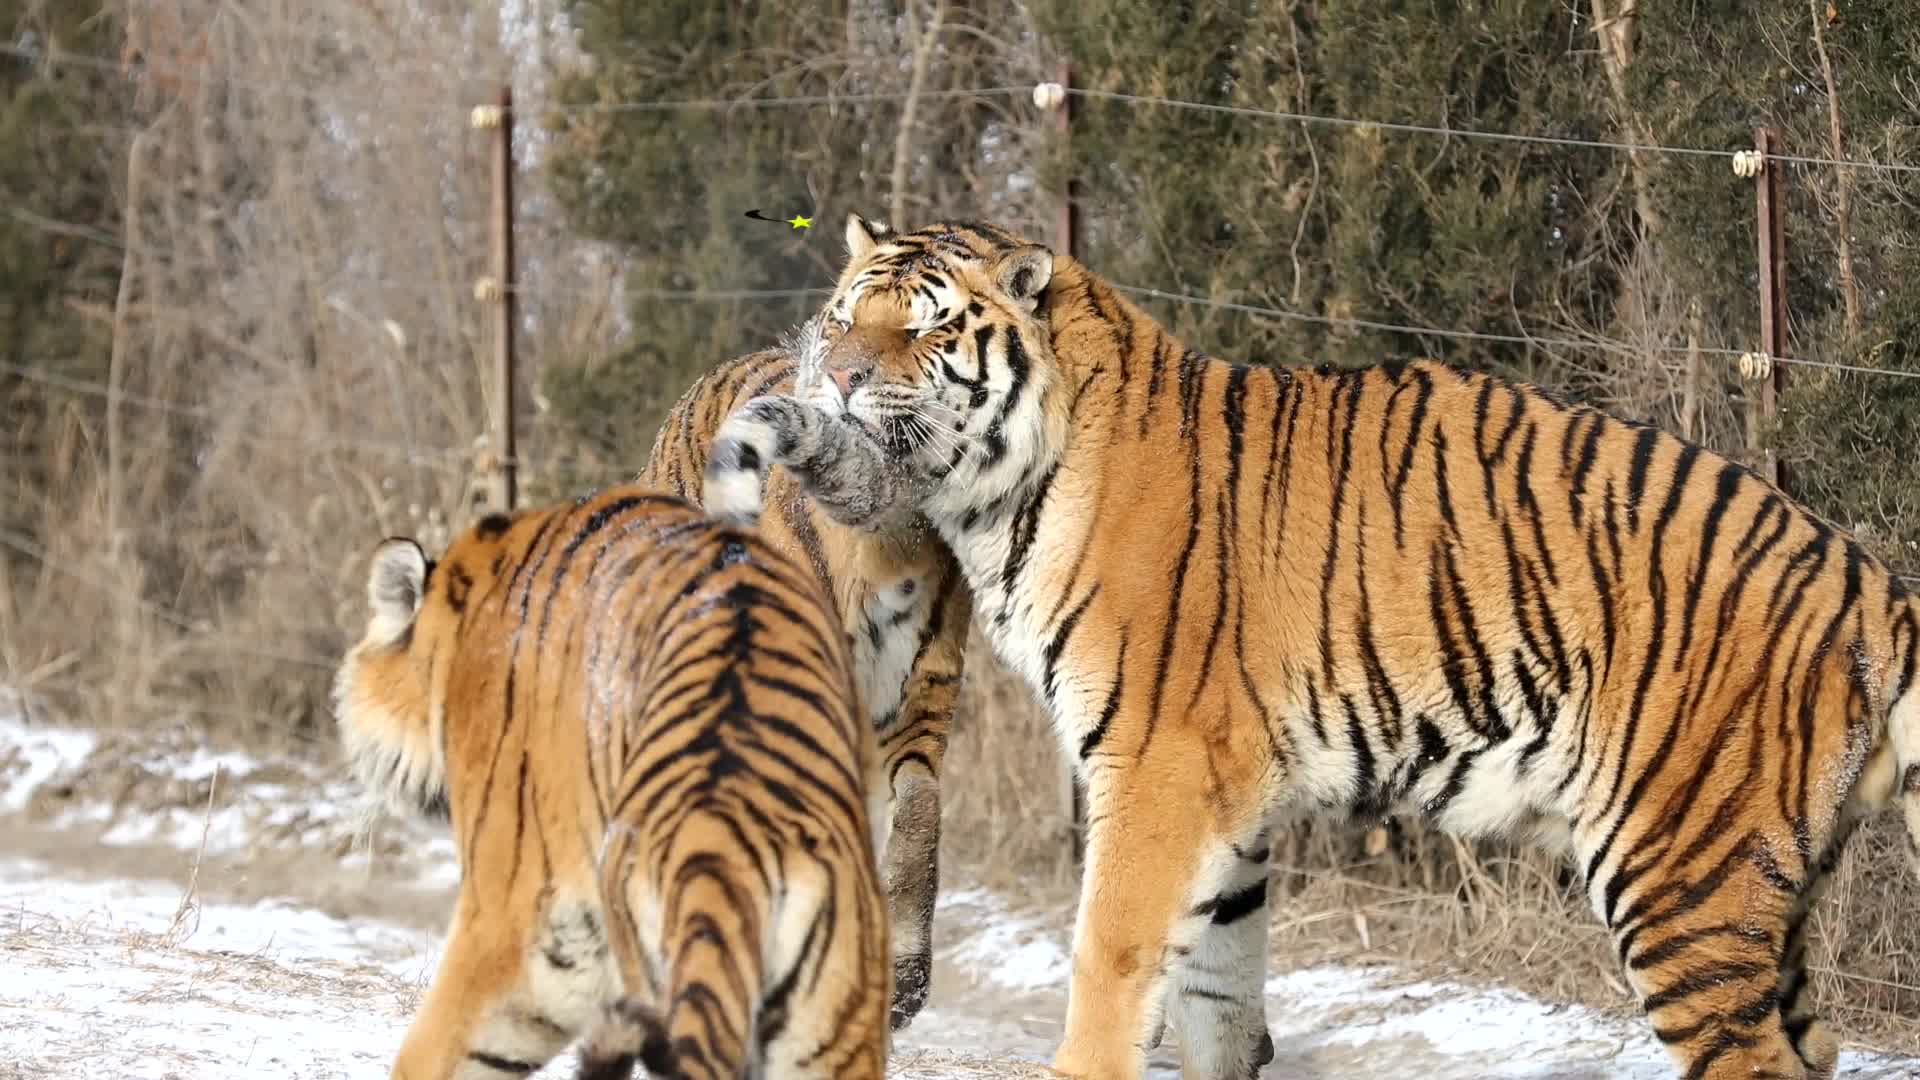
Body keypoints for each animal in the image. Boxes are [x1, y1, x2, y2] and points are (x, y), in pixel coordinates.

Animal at [710, 214, 1920, 1076]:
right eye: (843, 316)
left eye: (925, 326)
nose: (840, 375)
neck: (999, 493)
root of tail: (1866, 579)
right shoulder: (1229, 798)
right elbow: (1216, 995)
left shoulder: (1152, 768)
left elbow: (1109, 955)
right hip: (1759, 890)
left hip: (1680, 868)